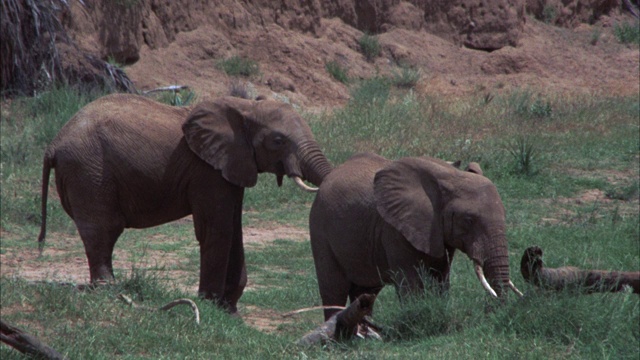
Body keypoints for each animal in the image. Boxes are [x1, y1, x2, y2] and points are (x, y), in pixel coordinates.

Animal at [37, 93, 332, 312]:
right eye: (278, 141)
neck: (244, 106)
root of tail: (52, 145)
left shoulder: (231, 165)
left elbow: (233, 226)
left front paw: (228, 309)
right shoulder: (206, 171)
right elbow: (216, 227)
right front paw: (210, 304)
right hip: (88, 171)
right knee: (102, 228)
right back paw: (108, 288)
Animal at [308, 152, 524, 320]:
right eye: (469, 220)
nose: (491, 309)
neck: (450, 176)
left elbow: (440, 277)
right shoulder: (394, 229)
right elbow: (409, 280)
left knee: (365, 292)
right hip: (320, 228)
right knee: (333, 289)